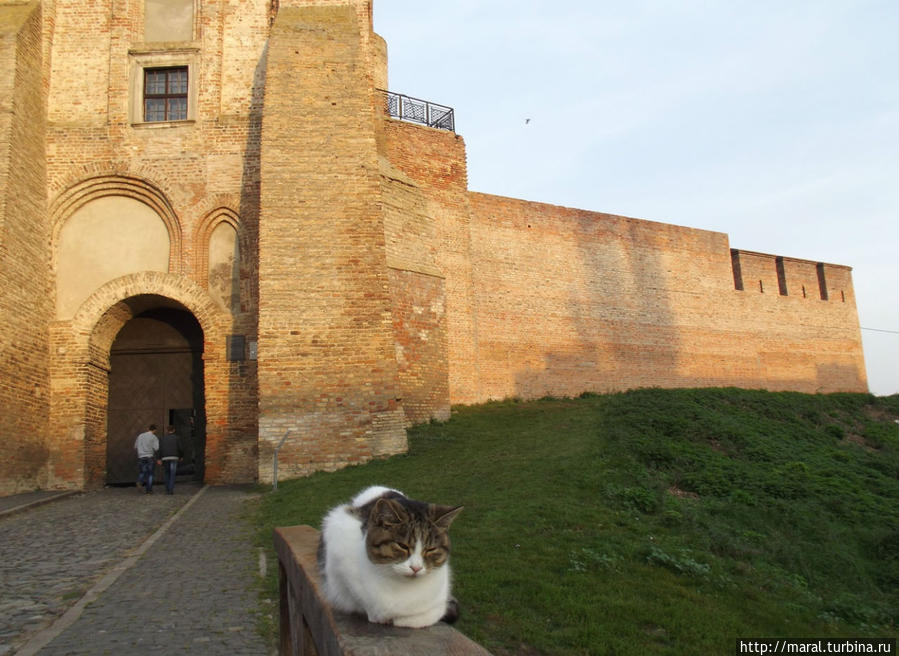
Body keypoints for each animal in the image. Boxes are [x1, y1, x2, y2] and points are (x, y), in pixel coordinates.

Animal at [318, 484, 464, 628]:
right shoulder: (339, 546)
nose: (416, 568)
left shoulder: (439, 600)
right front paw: (377, 616)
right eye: (402, 546)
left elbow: (420, 618)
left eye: (431, 549)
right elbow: (360, 597)